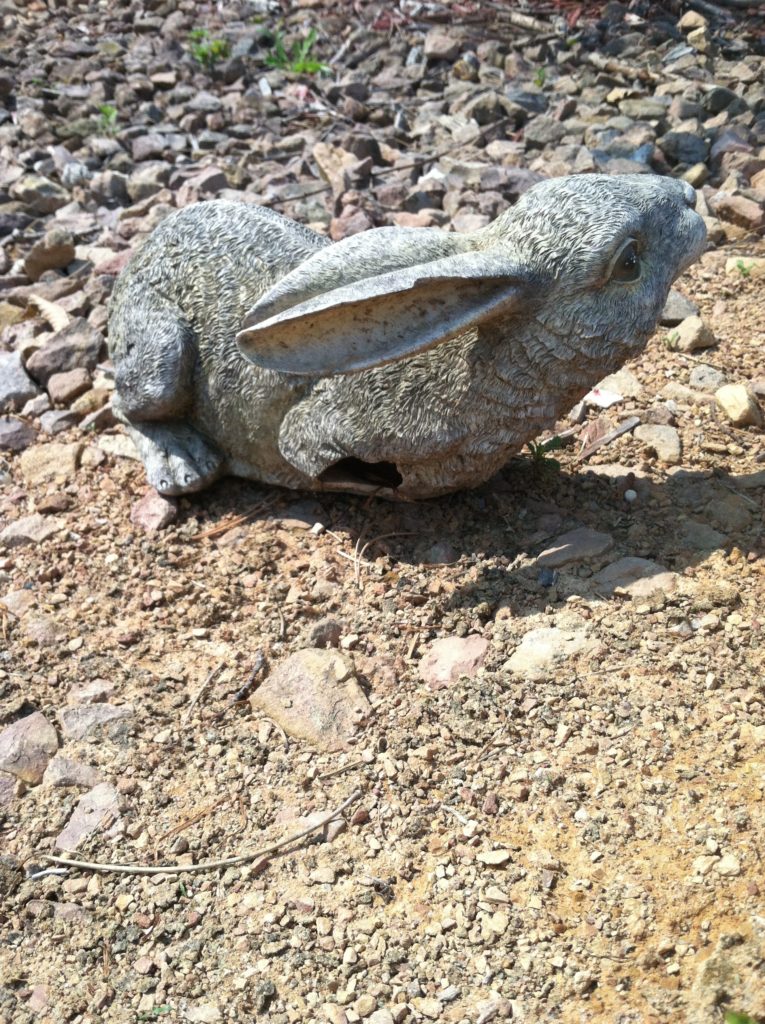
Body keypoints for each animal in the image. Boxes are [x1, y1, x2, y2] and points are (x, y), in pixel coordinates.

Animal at [107, 173, 706, 500]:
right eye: (627, 262)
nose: (690, 196)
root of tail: (148, 246)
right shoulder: (321, 429)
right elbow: (299, 446)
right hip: (158, 352)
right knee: (127, 403)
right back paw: (184, 464)